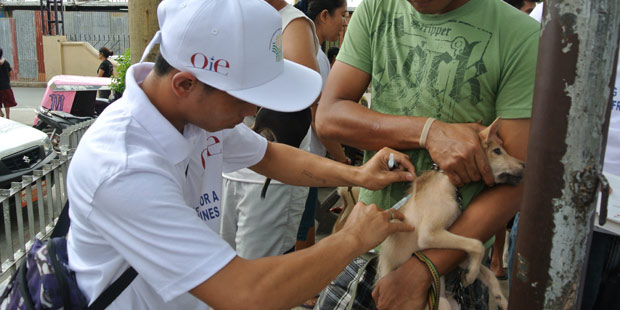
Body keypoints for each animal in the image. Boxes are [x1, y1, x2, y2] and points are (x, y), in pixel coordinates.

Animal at [378, 117, 524, 310]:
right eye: (497, 151)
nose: (525, 165)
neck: (446, 181)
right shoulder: (429, 235)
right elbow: (477, 245)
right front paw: (471, 276)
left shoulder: (454, 252)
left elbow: (488, 273)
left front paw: (499, 297)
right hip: (442, 304)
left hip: (451, 301)